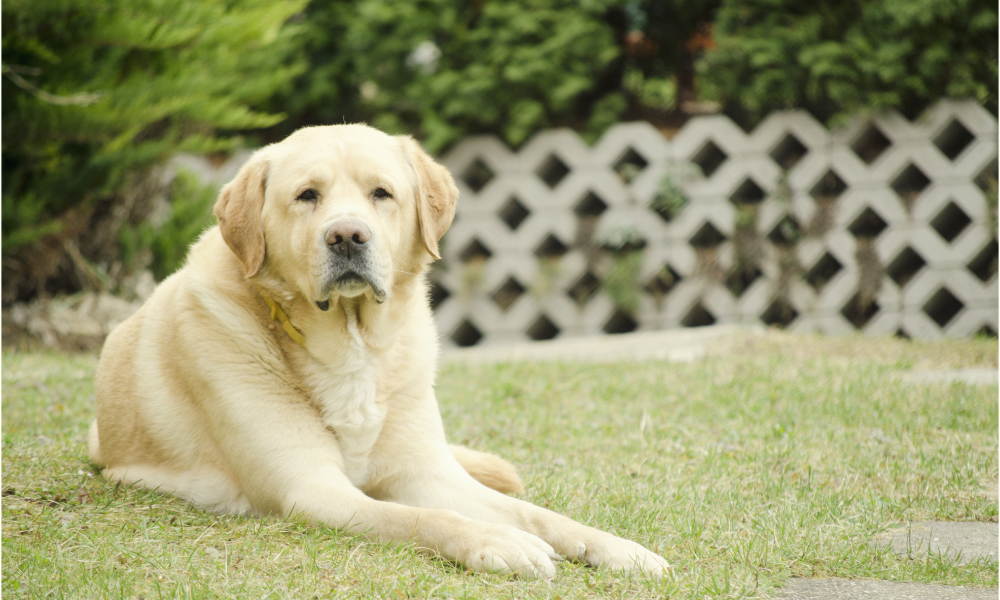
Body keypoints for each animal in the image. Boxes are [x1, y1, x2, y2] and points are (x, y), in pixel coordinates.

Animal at [90, 124, 672, 580]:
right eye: (307, 195)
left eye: (381, 193)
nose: (348, 236)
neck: (352, 344)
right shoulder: (313, 489)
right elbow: (422, 518)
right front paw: (497, 542)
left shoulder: (427, 474)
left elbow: (537, 514)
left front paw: (619, 549)